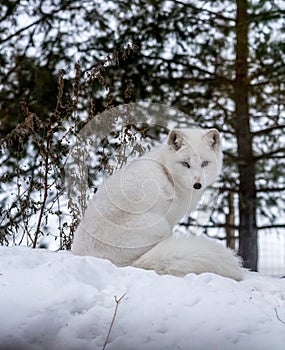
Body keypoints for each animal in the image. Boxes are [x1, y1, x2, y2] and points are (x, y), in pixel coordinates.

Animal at [72, 129, 243, 282]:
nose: (197, 185)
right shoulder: (170, 220)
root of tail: (124, 265)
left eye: (205, 163)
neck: (167, 171)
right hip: (160, 225)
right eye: (185, 163)